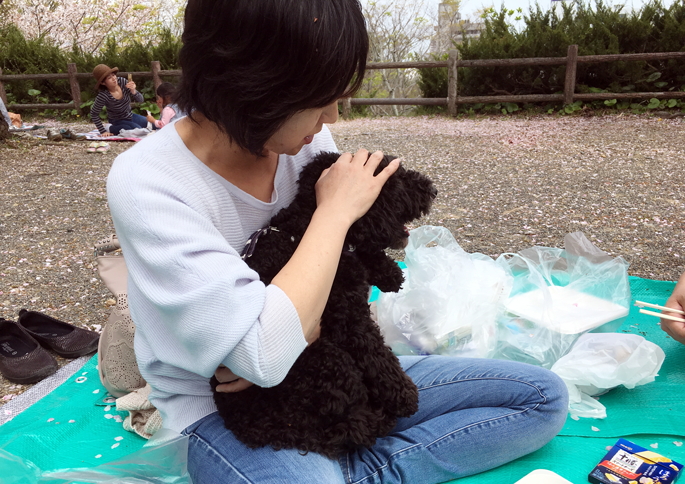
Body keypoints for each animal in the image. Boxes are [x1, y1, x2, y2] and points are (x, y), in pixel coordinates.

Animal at [210, 151, 438, 458]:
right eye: (396, 181)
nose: (432, 191)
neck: (303, 228)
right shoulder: (350, 320)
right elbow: (378, 356)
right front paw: (402, 393)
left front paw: (388, 273)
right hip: (328, 360)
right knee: (356, 420)